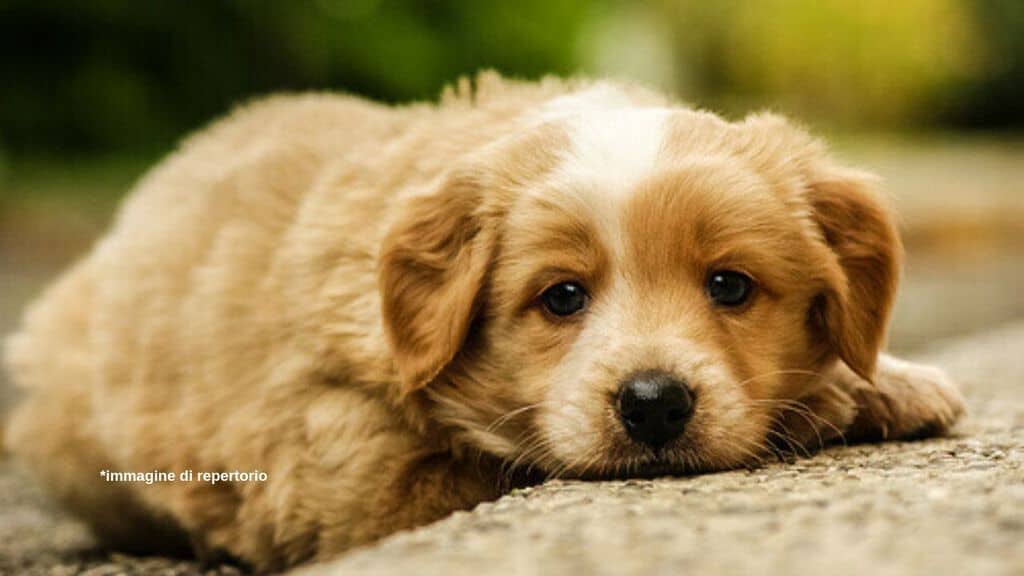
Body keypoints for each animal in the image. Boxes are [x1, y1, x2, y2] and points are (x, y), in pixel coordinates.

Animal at [0, 72, 962, 569]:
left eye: (730, 286)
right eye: (562, 297)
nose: (653, 405)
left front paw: (891, 381)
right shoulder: (344, 470)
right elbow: (498, 462)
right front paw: (829, 401)